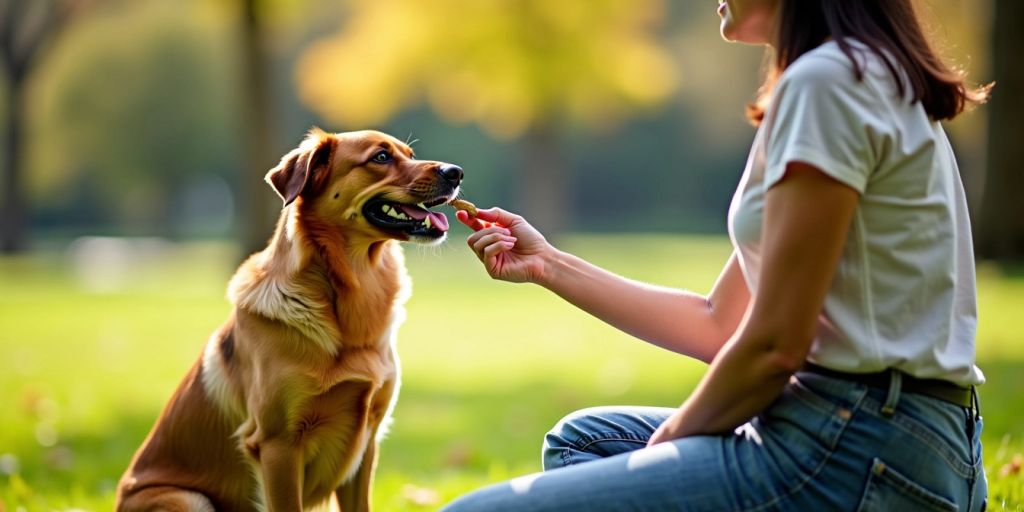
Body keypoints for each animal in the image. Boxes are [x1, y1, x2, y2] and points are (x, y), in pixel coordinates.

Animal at [116, 126, 464, 507]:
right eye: (381, 157)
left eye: (410, 154)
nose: (456, 172)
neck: (351, 294)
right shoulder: (277, 445)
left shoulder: (367, 443)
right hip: (187, 499)